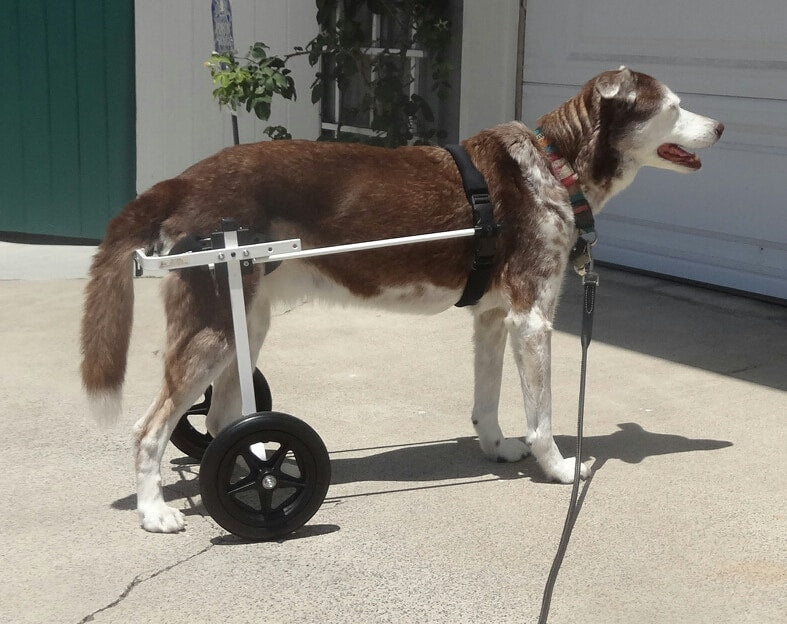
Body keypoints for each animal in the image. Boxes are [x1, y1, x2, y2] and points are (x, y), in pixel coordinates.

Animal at [81, 69, 728, 536]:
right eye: (673, 108)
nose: (723, 126)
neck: (556, 164)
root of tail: (184, 179)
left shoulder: (495, 319)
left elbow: (488, 402)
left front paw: (497, 449)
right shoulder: (532, 320)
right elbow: (543, 418)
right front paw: (561, 470)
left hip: (247, 320)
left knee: (220, 417)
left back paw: (257, 461)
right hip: (216, 327)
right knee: (148, 428)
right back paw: (156, 510)